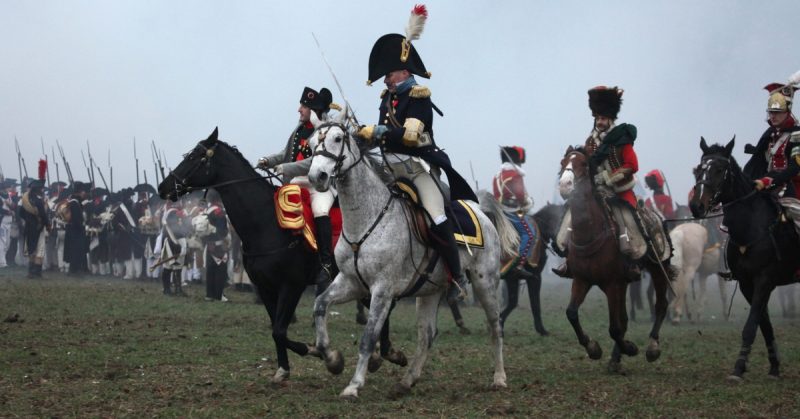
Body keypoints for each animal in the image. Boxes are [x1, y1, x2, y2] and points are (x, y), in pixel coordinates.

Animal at [158, 129, 320, 384]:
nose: (163, 187)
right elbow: (276, 330)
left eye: (195, 157)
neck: (267, 224)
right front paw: (283, 369)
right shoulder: (265, 286)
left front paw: (319, 351)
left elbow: (279, 330)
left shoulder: (292, 285)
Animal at [304, 109, 510, 400]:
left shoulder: (382, 290)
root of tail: (480, 212)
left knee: (495, 327)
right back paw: (406, 381)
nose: (317, 177)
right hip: (430, 290)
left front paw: (354, 385)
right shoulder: (351, 282)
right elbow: (320, 305)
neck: (365, 221)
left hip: (485, 283)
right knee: (427, 335)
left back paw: (499, 378)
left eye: (337, 138)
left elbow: (368, 337)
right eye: (312, 144)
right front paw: (332, 359)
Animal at [560, 148, 672, 374]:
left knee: (661, 305)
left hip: (657, 269)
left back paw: (652, 347)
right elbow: (572, 313)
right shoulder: (582, 280)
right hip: (623, 282)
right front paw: (593, 348)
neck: (589, 233)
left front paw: (630, 348)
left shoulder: (612, 284)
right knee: (625, 319)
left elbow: (614, 328)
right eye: (563, 162)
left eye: (583, 164)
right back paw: (615, 359)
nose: (564, 185)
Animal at [692, 138, 796, 380]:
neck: (752, 226)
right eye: (699, 169)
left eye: (720, 169)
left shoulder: (764, 280)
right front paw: (773, 366)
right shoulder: (748, 284)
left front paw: (738, 368)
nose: (696, 206)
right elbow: (764, 324)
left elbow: (751, 326)